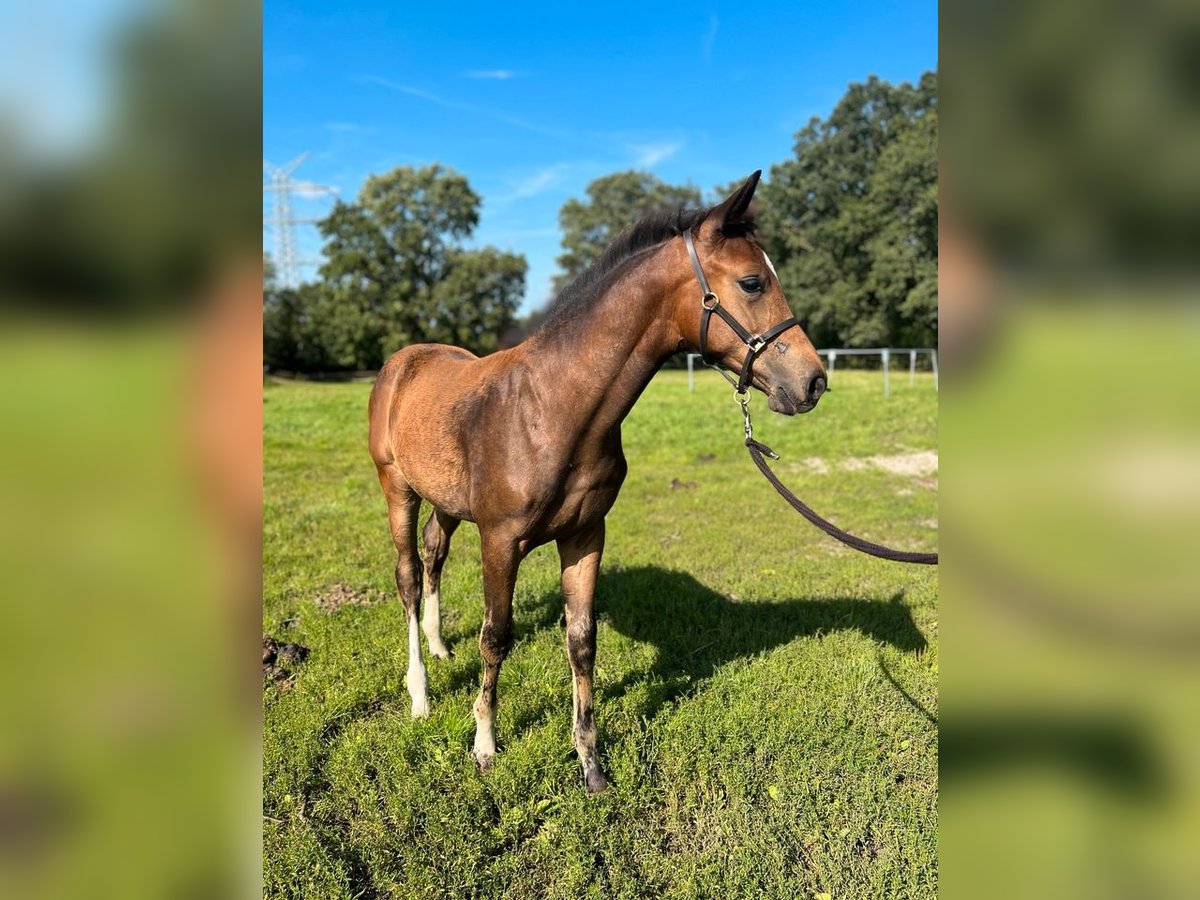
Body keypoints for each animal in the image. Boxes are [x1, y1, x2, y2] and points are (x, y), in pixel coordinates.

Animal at [369, 169, 830, 787]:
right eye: (753, 282)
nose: (813, 381)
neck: (553, 409)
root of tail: (404, 360)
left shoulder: (585, 535)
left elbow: (581, 640)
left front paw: (590, 762)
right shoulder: (501, 541)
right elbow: (496, 637)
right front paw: (485, 743)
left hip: (445, 501)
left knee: (434, 554)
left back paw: (441, 649)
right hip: (398, 490)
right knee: (409, 577)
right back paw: (419, 693)